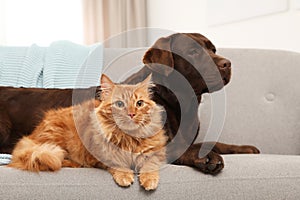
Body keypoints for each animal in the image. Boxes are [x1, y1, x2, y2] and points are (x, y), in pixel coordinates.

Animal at [8, 74, 166, 191]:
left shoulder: (157, 152)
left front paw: (149, 180)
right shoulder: (99, 155)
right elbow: (117, 163)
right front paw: (124, 175)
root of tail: (32, 135)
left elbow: (151, 164)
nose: (132, 114)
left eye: (139, 103)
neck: (128, 138)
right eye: (120, 104)